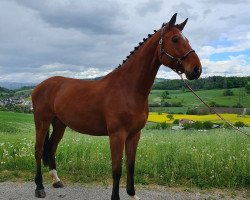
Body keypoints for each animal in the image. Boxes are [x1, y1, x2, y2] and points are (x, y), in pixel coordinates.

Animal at [32, 13, 201, 199]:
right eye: (175, 39)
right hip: (42, 122)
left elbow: (131, 165)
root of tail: (40, 86)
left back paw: (56, 180)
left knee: (52, 147)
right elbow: (116, 169)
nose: (196, 69)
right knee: (39, 150)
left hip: (59, 123)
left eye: (187, 39)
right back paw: (39, 187)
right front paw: (116, 196)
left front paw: (132, 193)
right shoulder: (117, 135)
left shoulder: (134, 134)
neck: (128, 88)